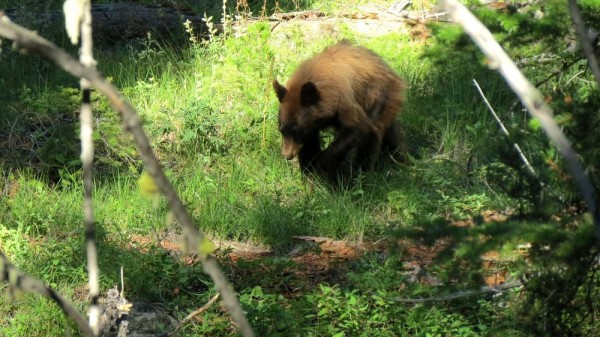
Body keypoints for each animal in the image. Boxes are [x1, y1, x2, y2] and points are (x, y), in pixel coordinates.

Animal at [274, 39, 406, 182]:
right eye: (281, 130)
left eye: (297, 131)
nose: (287, 155)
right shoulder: (311, 125)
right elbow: (309, 147)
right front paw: (311, 176)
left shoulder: (343, 101)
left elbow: (358, 128)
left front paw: (324, 166)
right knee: (391, 136)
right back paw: (400, 158)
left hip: (379, 98)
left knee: (371, 138)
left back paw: (362, 176)